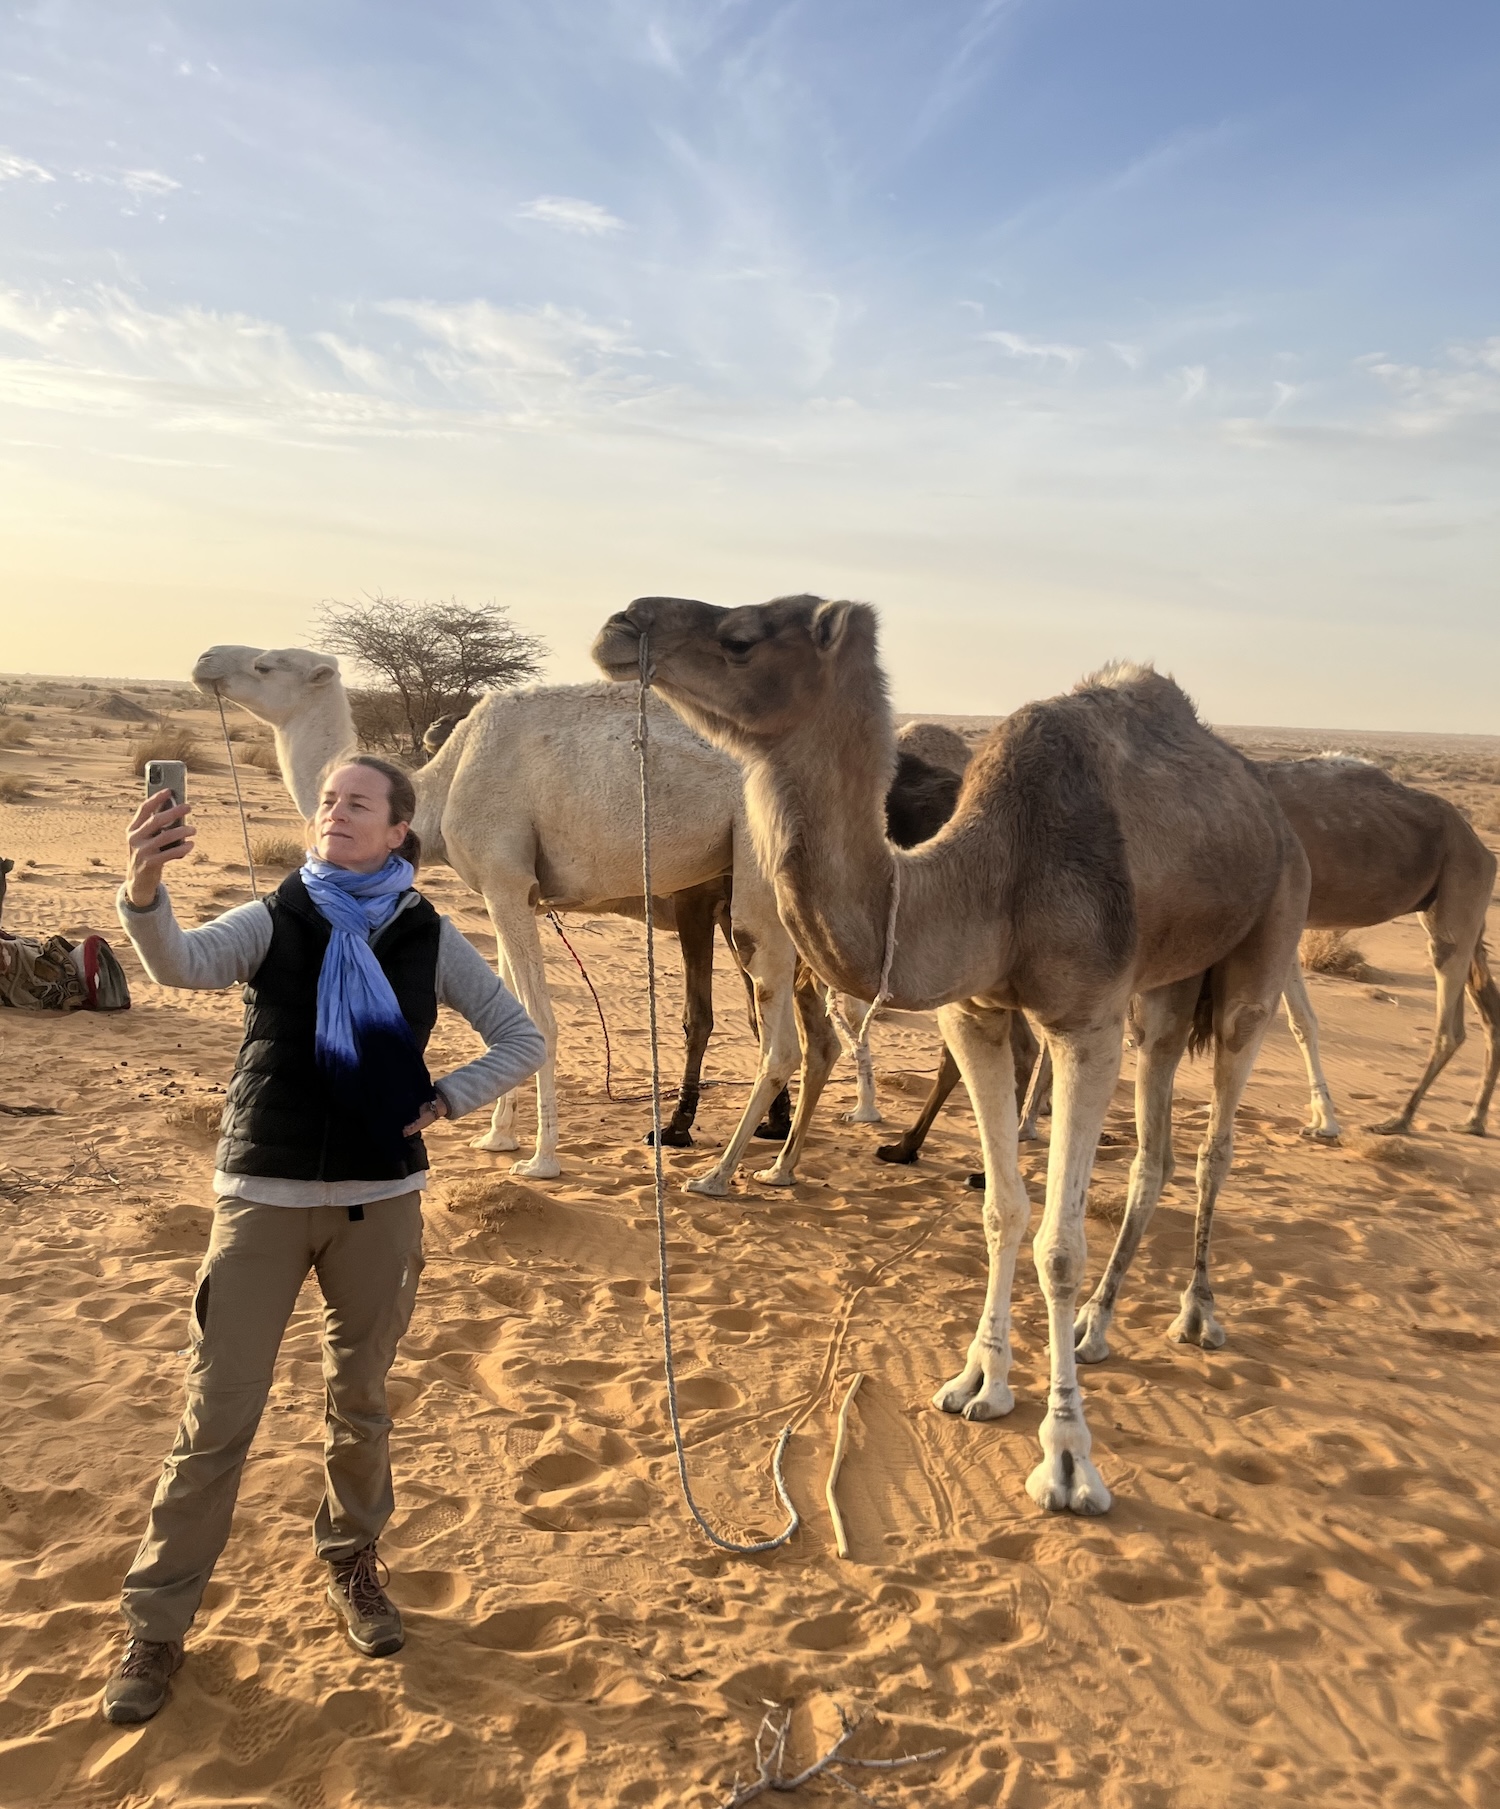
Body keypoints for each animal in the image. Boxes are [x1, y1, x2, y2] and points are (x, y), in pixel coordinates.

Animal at [594, 595, 1309, 1515]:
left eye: (741, 638)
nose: (620, 623)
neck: (990, 873)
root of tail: (1267, 803)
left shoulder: (1084, 1020)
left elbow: (1059, 1243)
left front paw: (1067, 1457)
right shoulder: (977, 1011)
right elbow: (1005, 1210)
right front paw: (980, 1382)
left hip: (1265, 941)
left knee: (1217, 1142)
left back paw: (1196, 1312)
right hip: (1164, 989)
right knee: (1155, 1151)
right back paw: (1100, 1323)